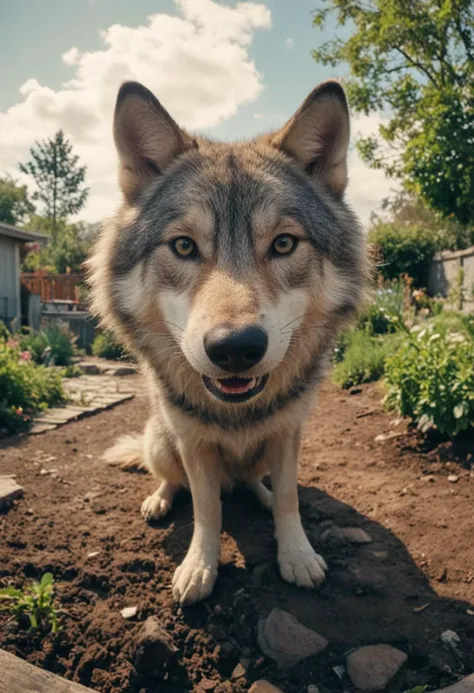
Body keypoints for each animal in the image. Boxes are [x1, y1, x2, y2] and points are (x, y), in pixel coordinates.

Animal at [90, 78, 370, 604]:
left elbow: (289, 499)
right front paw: (199, 569)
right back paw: (158, 500)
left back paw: (256, 494)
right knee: (173, 480)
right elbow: (206, 511)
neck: (236, 413)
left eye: (283, 244)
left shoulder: (287, 434)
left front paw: (296, 556)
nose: (235, 347)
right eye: (183, 246)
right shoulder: (193, 444)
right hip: (161, 439)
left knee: (254, 485)